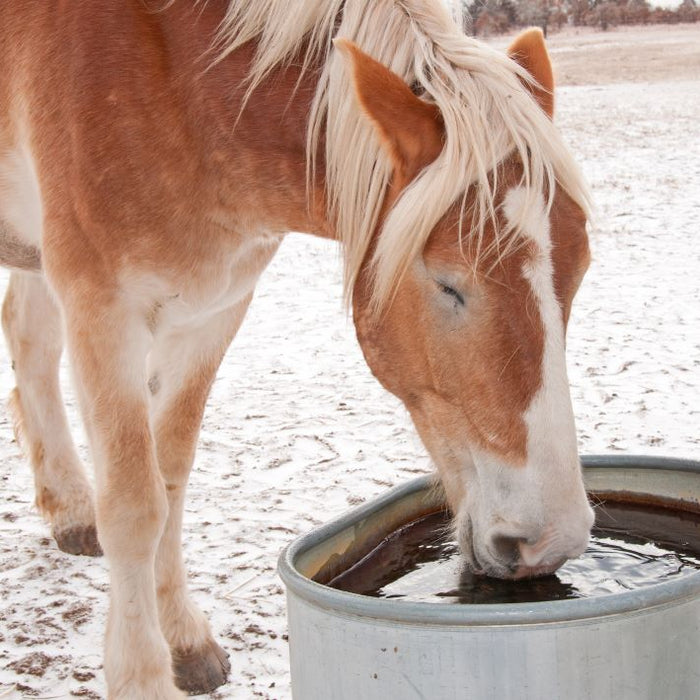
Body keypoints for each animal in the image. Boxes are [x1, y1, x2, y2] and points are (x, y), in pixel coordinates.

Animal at [0, 2, 592, 696]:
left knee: (29, 339)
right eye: (449, 283)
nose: (551, 540)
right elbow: (134, 506)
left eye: (580, 270)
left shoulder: (214, 310)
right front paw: (143, 677)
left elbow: (170, 479)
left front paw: (185, 642)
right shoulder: (103, 313)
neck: (181, 80)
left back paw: (68, 507)